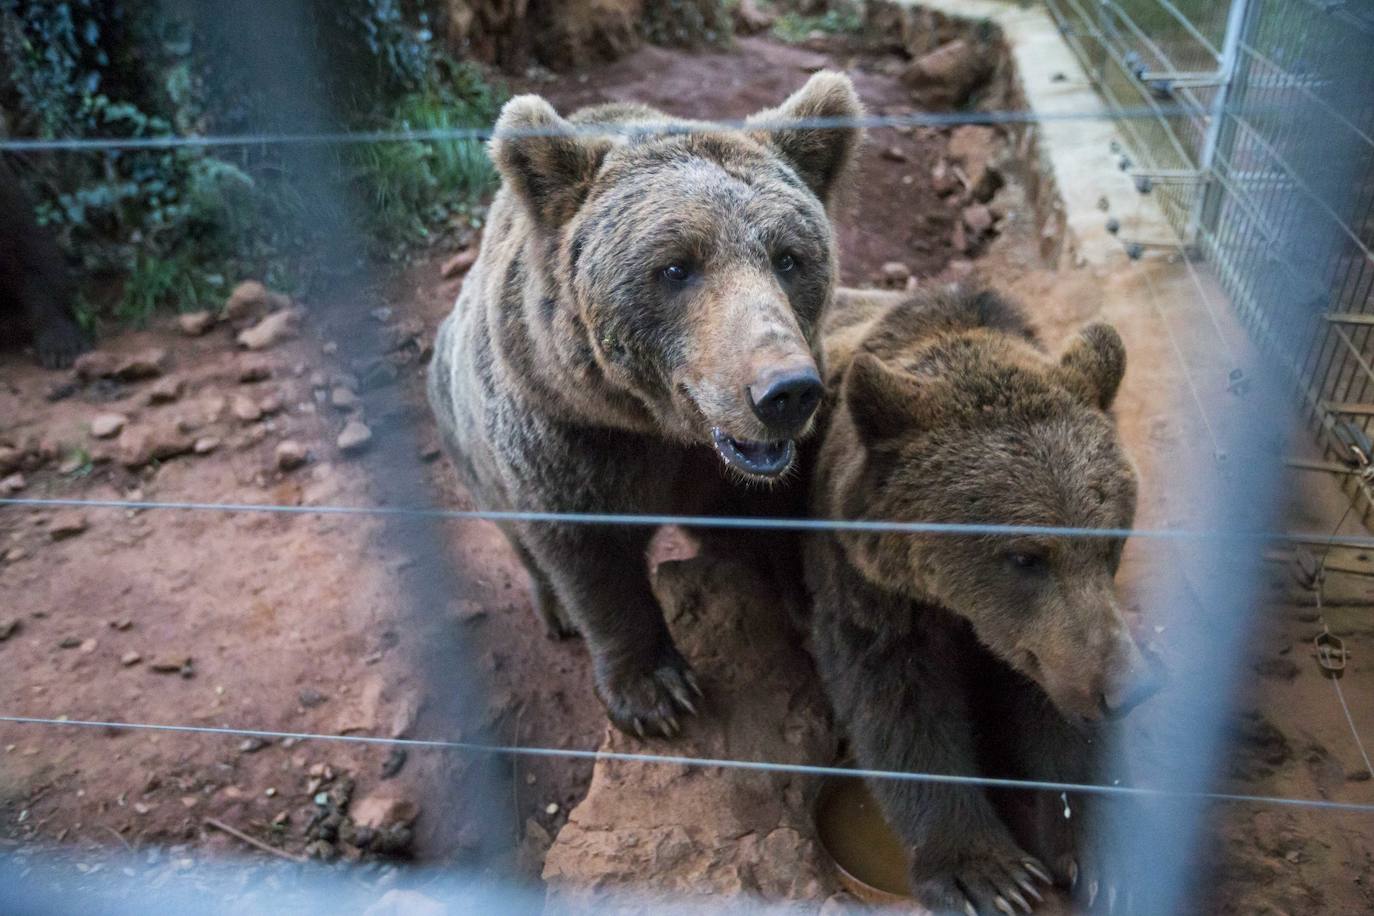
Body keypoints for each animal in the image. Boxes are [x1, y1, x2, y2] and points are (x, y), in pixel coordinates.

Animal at [423, 75, 862, 741]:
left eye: (788, 257)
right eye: (676, 267)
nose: (785, 392)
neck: (659, 430)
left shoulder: (732, 471)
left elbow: (776, 524)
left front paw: (806, 612)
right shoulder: (566, 432)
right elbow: (589, 558)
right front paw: (655, 692)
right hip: (467, 446)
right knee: (516, 534)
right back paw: (555, 609)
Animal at [807, 287, 1165, 916]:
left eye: (1113, 538)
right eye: (1025, 557)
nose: (1128, 689)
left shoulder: (1044, 641)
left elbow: (1053, 709)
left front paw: (1103, 856)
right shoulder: (868, 587)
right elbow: (899, 707)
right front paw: (988, 876)